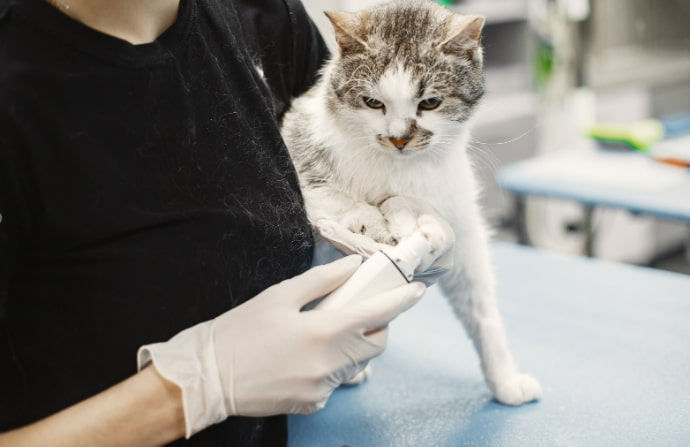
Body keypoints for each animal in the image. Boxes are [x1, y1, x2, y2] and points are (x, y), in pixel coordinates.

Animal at [280, 0, 536, 406]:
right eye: (373, 102)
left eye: (430, 102)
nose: (398, 138)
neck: (399, 169)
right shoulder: (299, 137)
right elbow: (328, 193)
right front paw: (372, 221)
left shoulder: (460, 220)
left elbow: (480, 303)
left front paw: (505, 377)